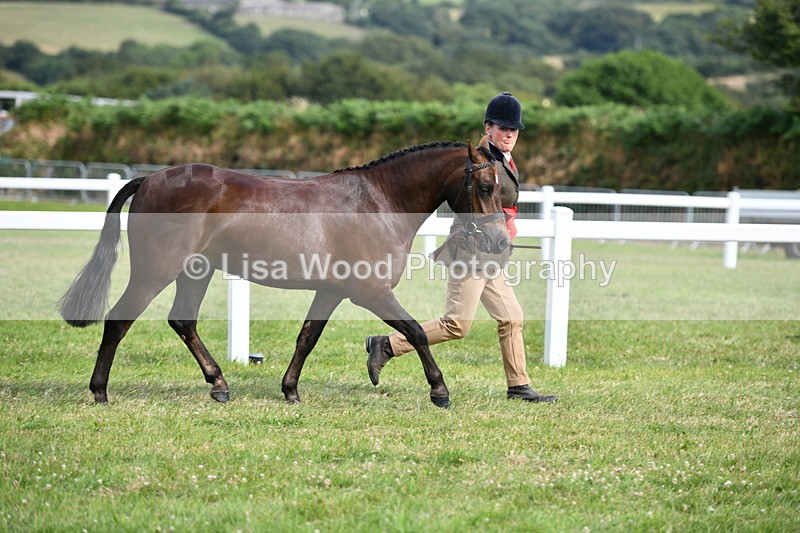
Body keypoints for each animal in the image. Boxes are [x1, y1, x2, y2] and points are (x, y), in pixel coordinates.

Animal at [59, 140, 509, 408]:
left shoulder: (331, 291)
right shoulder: (370, 291)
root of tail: (150, 179)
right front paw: (440, 391)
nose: (501, 242)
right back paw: (100, 391)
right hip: (156, 270)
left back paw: (219, 384)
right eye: (486, 186)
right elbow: (415, 331)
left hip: (195, 271)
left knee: (182, 321)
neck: (379, 202)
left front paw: (290, 390)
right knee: (119, 321)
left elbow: (307, 338)